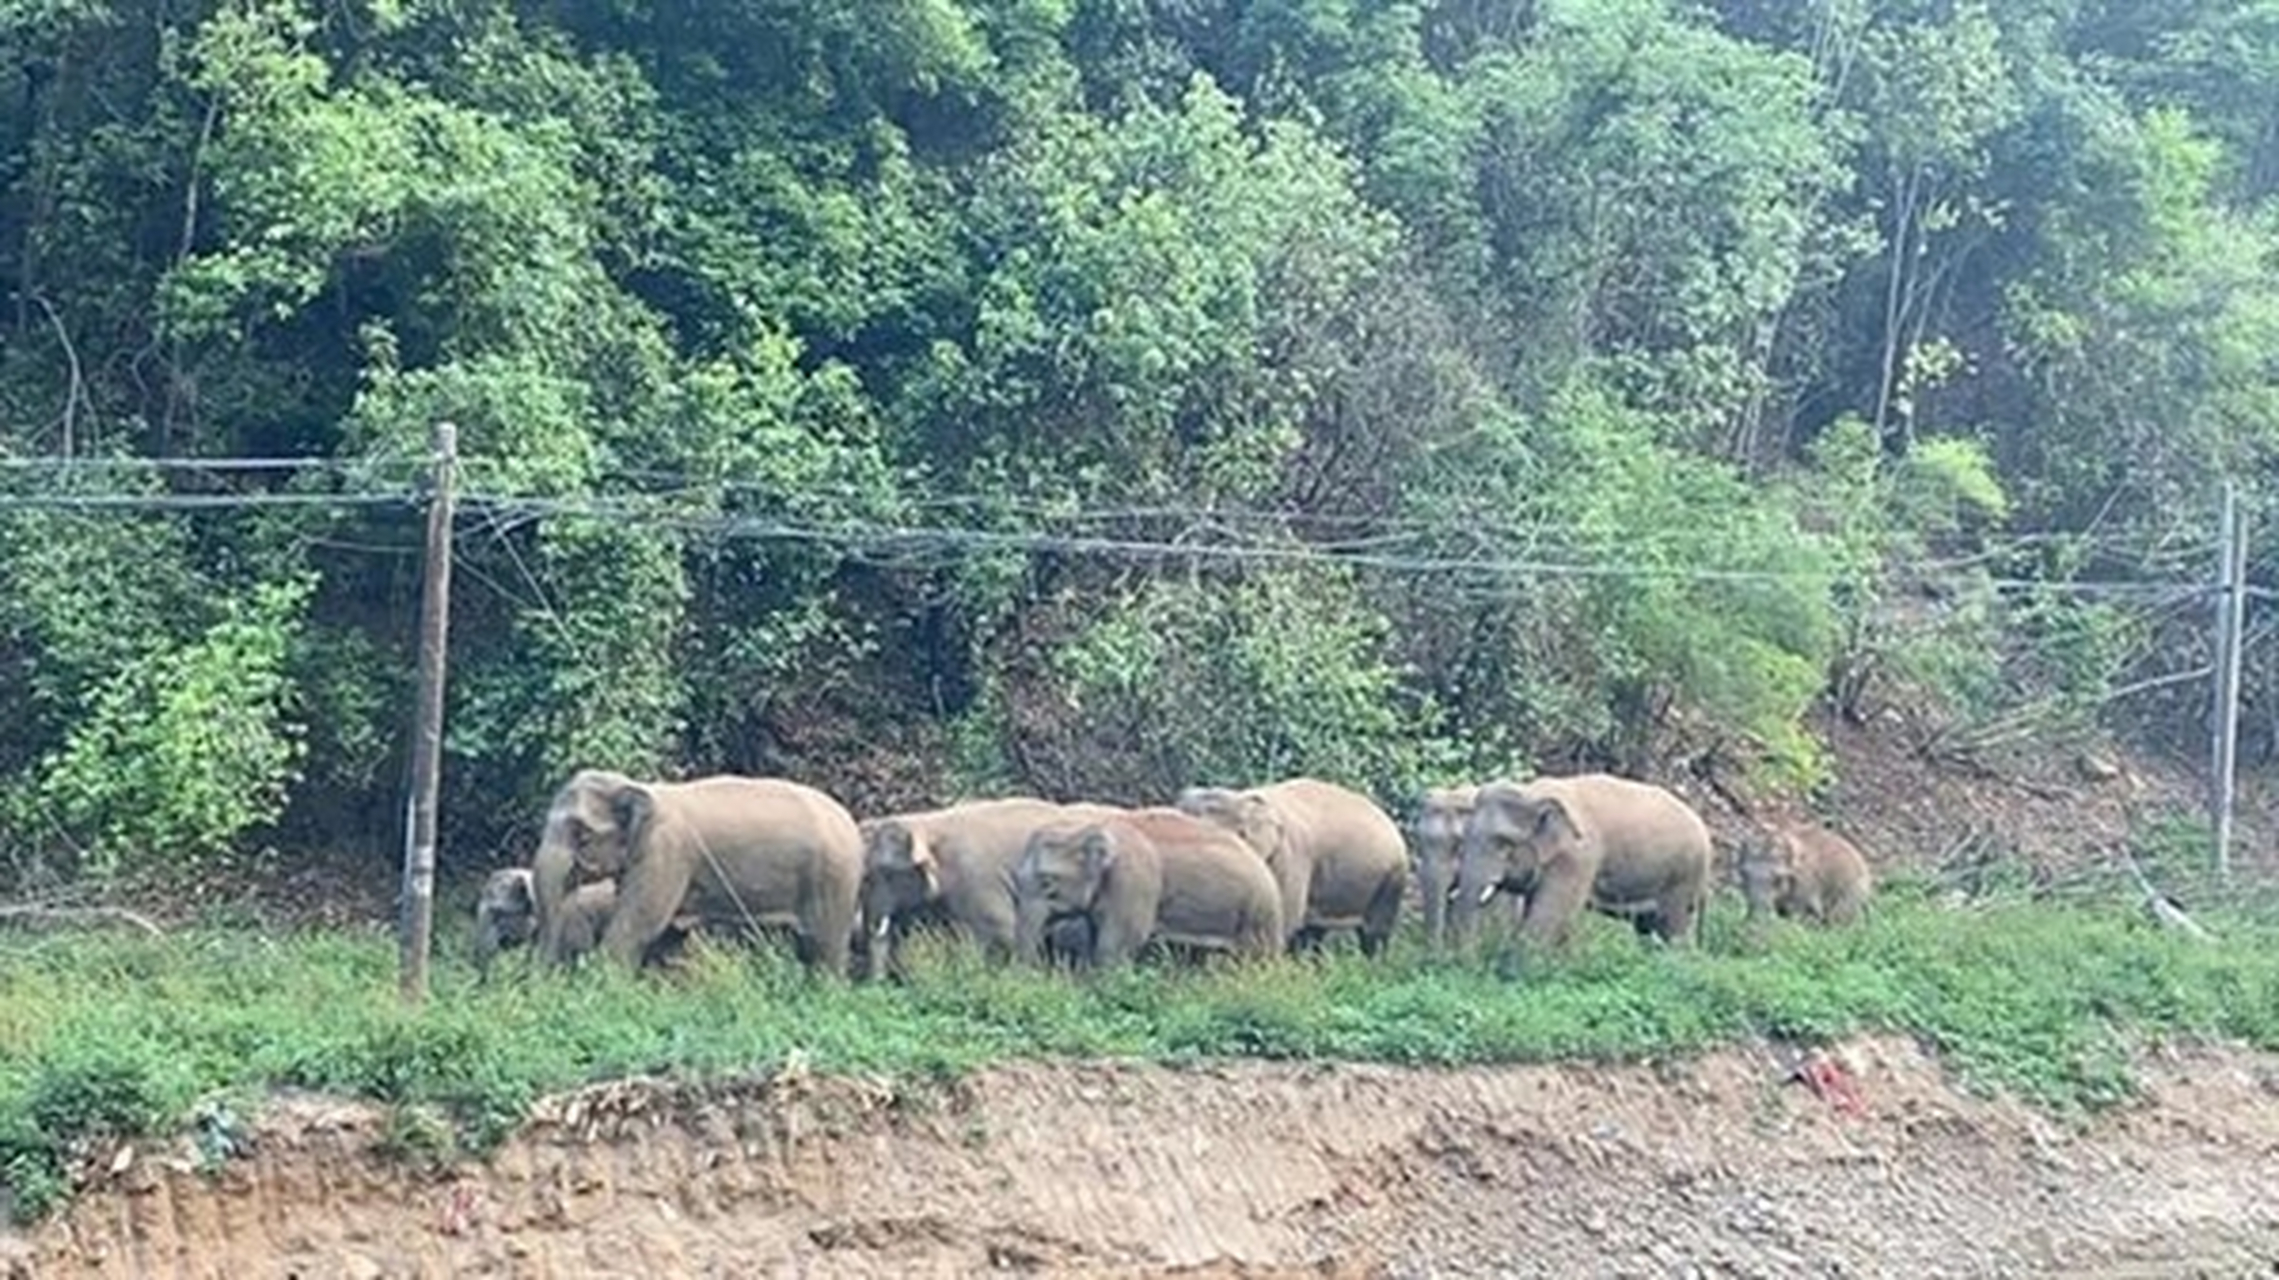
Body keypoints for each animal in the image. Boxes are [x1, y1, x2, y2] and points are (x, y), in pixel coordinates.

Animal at [531, 768, 865, 976]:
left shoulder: (666, 851)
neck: (639, 787)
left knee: (825, 942)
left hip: (834, 877)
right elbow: (667, 935)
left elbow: (638, 924)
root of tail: (850, 822)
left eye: (582, 834)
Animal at [1012, 807, 1284, 969]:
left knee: (1257, 957)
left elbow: (1120, 941)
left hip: (1258, 911)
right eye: (1017, 879)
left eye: (1047, 882)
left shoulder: (1134, 880)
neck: (1089, 826)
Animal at [1174, 778, 1407, 955]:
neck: (1242, 797)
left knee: (1373, 932)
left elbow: (1284, 920)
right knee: (1314, 931)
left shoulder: (1290, 857)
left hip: (1391, 877)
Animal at [1450, 773, 1712, 950]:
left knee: (1673, 928)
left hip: (1683, 877)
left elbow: (1548, 917)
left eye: (1503, 844)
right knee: (1649, 929)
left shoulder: (1576, 857)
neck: (1532, 793)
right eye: (1464, 838)